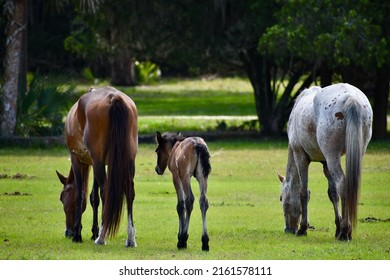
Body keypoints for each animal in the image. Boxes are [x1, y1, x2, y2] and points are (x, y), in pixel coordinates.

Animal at [55, 86, 139, 247]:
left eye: (62, 198)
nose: (68, 232)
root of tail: (114, 98)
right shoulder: (94, 163)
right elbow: (94, 197)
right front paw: (93, 231)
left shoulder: (77, 159)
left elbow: (80, 195)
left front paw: (78, 235)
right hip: (128, 160)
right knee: (129, 191)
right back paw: (130, 238)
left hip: (98, 160)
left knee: (106, 191)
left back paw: (102, 237)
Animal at [278, 82, 372, 241]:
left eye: (281, 199)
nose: (288, 229)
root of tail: (351, 98)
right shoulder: (325, 162)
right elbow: (332, 193)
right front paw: (337, 227)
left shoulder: (300, 156)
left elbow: (304, 192)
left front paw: (303, 229)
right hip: (351, 153)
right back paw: (345, 230)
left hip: (332, 155)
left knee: (342, 184)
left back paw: (345, 232)